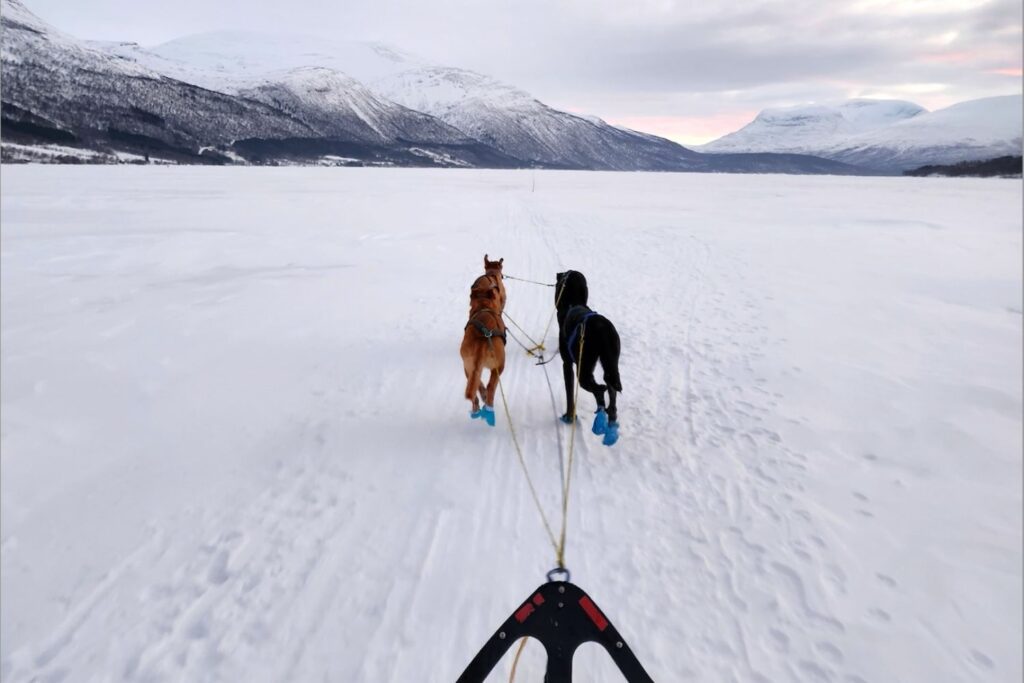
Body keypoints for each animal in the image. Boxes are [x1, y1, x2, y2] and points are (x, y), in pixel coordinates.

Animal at [462, 274, 505, 423]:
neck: (483, 306)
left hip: (467, 366)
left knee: (475, 387)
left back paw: (476, 410)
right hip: (499, 366)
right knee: (491, 386)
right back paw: (489, 409)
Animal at [557, 272, 618, 448]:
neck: (573, 303)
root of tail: (602, 329)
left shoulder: (567, 364)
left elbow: (569, 393)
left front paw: (569, 416)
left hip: (583, 369)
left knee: (600, 389)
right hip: (610, 364)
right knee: (610, 390)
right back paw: (610, 423)